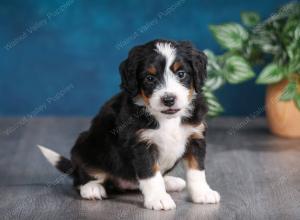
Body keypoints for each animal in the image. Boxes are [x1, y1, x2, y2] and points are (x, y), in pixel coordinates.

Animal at [38, 39, 220, 210]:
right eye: (149, 78)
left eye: (181, 74)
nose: (168, 99)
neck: (167, 119)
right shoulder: (140, 144)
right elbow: (151, 174)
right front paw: (158, 199)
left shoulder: (195, 136)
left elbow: (197, 171)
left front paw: (203, 193)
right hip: (84, 146)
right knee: (82, 177)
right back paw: (92, 188)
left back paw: (170, 181)